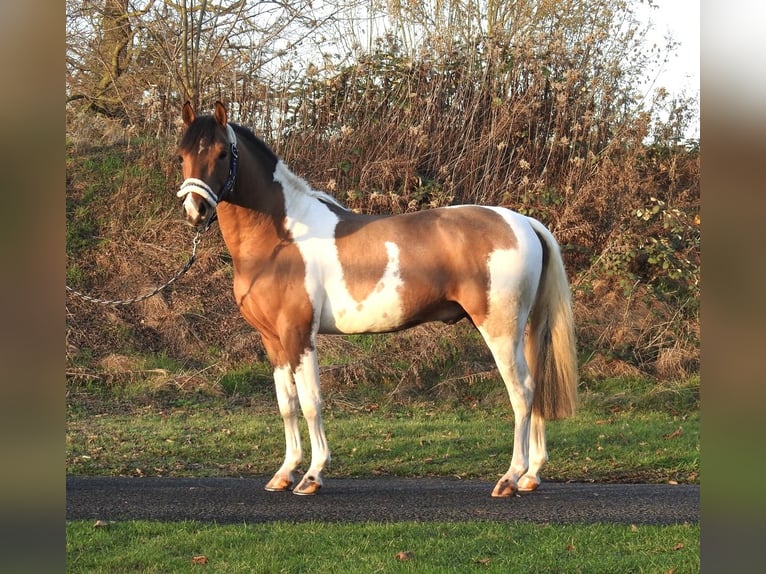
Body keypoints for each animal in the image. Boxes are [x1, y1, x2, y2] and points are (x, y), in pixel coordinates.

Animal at [176, 101, 577, 497]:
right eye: (182, 153)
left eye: (222, 152)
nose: (196, 209)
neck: (284, 238)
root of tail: (523, 221)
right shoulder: (273, 340)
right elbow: (287, 405)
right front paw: (285, 472)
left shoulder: (299, 334)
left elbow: (311, 402)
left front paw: (312, 476)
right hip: (525, 329)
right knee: (535, 388)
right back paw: (531, 475)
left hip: (501, 331)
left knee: (522, 392)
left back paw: (510, 477)